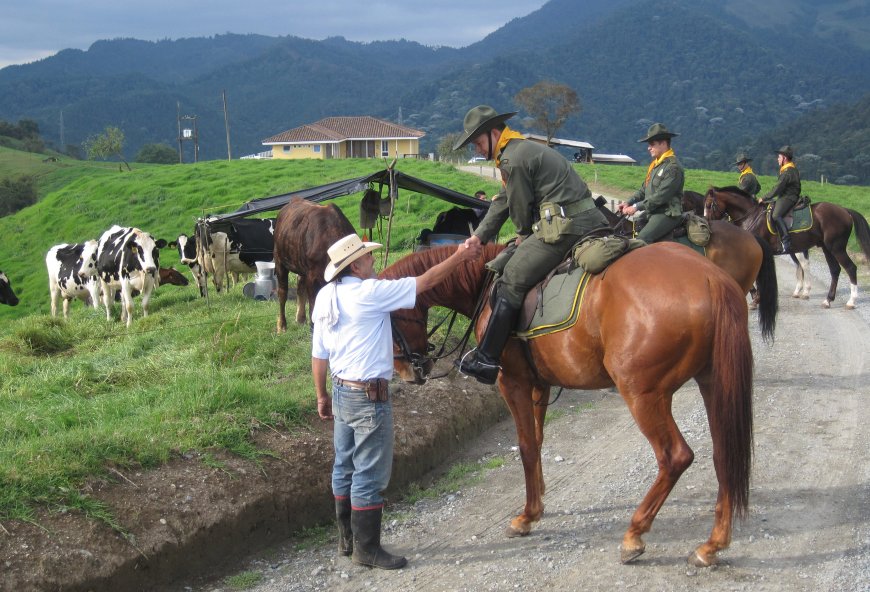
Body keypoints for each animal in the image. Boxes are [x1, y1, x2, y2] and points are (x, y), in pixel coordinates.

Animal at [272, 197, 354, 330]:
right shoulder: (312, 278)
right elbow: (313, 306)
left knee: (300, 286)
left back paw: (300, 318)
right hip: (279, 260)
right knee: (282, 292)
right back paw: (282, 325)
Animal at [384, 243, 752, 568]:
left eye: (387, 321)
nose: (409, 372)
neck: (485, 284)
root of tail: (709, 277)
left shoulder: (512, 383)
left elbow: (525, 445)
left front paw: (526, 516)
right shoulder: (539, 383)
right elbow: (537, 440)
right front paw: (538, 502)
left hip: (643, 395)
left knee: (675, 457)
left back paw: (634, 534)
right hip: (712, 384)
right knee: (724, 454)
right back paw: (711, 546)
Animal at [704, 187, 870, 310]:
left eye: (709, 205)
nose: (707, 225)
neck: (751, 216)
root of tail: (845, 210)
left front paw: (756, 299)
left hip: (836, 248)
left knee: (850, 268)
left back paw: (851, 301)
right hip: (827, 249)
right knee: (834, 270)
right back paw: (827, 300)